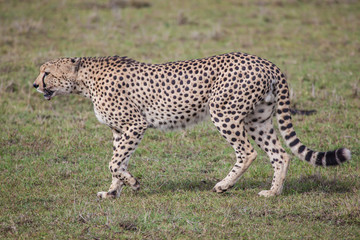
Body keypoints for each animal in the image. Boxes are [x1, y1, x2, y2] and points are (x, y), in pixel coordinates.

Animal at [33, 52, 352, 197]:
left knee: (247, 152)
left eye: (46, 72)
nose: (35, 84)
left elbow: (114, 163)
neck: (84, 81)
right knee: (280, 154)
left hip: (224, 113)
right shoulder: (120, 131)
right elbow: (117, 162)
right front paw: (113, 192)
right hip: (258, 119)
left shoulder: (135, 126)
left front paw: (132, 184)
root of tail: (263, 60)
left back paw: (223, 185)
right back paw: (272, 193)